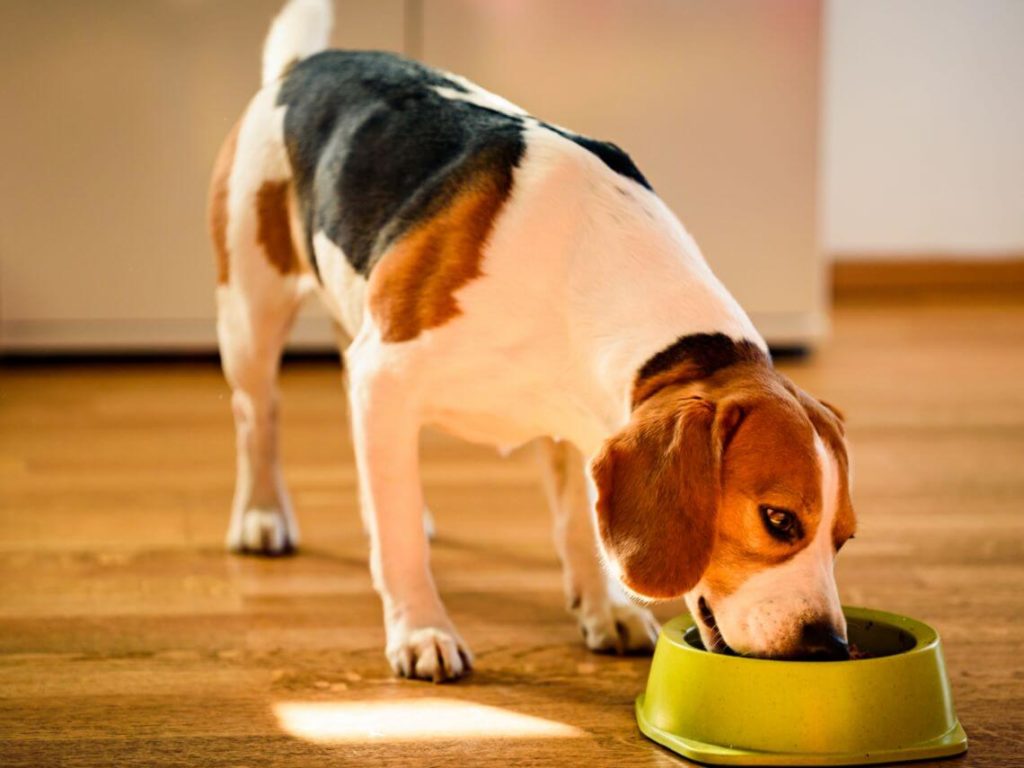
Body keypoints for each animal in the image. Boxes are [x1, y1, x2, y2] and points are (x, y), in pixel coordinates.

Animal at [207, 0, 856, 684]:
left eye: (843, 539)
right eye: (778, 520)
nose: (828, 646)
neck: (584, 265)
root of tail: (304, 65)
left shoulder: (579, 424)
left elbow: (577, 525)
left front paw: (604, 609)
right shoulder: (384, 375)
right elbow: (400, 540)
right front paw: (422, 629)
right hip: (250, 317)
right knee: (259, 417)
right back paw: (261, 516)